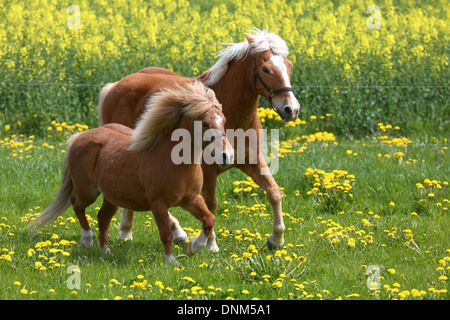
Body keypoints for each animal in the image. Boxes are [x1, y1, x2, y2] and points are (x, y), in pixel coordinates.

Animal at [29, 81, 234, 264]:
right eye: (205, 124)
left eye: (224, 120)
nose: (227, 156)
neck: (173, 163)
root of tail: (79, 137)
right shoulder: (158, 204)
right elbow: (166, 234)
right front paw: (171, 262)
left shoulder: (191, 199)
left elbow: (209, 219)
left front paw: (193, 248)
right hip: (88, 191)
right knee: (77, 205)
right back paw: (87, 241)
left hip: (112, 198)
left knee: (102, 219)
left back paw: (106, 251)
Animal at [100, 28, 300, 251]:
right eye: (265, 69)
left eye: (289, 65)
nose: (291, 109)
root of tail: (115, 86)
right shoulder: (208, 170)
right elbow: (210, 204)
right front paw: (211, 245)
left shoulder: (252, 160)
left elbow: (274, 191)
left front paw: (276, 239)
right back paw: (157, 232)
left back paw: (132, 231)